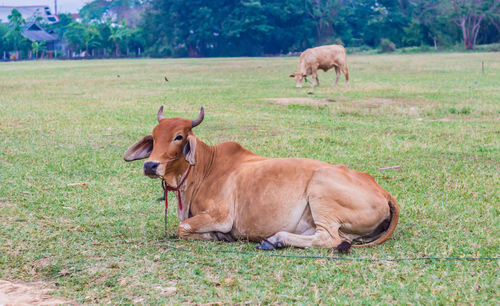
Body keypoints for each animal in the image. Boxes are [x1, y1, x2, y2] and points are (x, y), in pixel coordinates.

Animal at [124, 107, 398, 253]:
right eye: (154, 137)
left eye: (179, 136)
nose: (150, 165)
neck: (203, 169)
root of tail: (383, 191)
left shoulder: (221, 216)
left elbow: (183, 228)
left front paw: (219, 236)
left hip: (321, 191)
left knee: (329, 238)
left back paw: (276, 239)